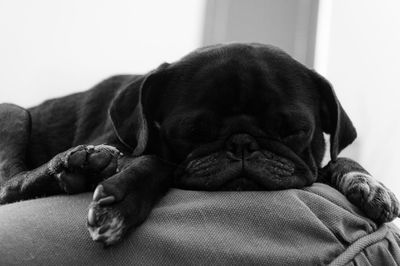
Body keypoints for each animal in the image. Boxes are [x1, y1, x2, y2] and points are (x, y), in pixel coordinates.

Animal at [0, 43, 398, 245]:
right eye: (193, 132)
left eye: (291, 131)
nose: (242, 144)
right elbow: (157, 161)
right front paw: (123, 200)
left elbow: (339, 163)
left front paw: (369, 183)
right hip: (13, 113)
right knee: (8, 186)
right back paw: (75, 163)